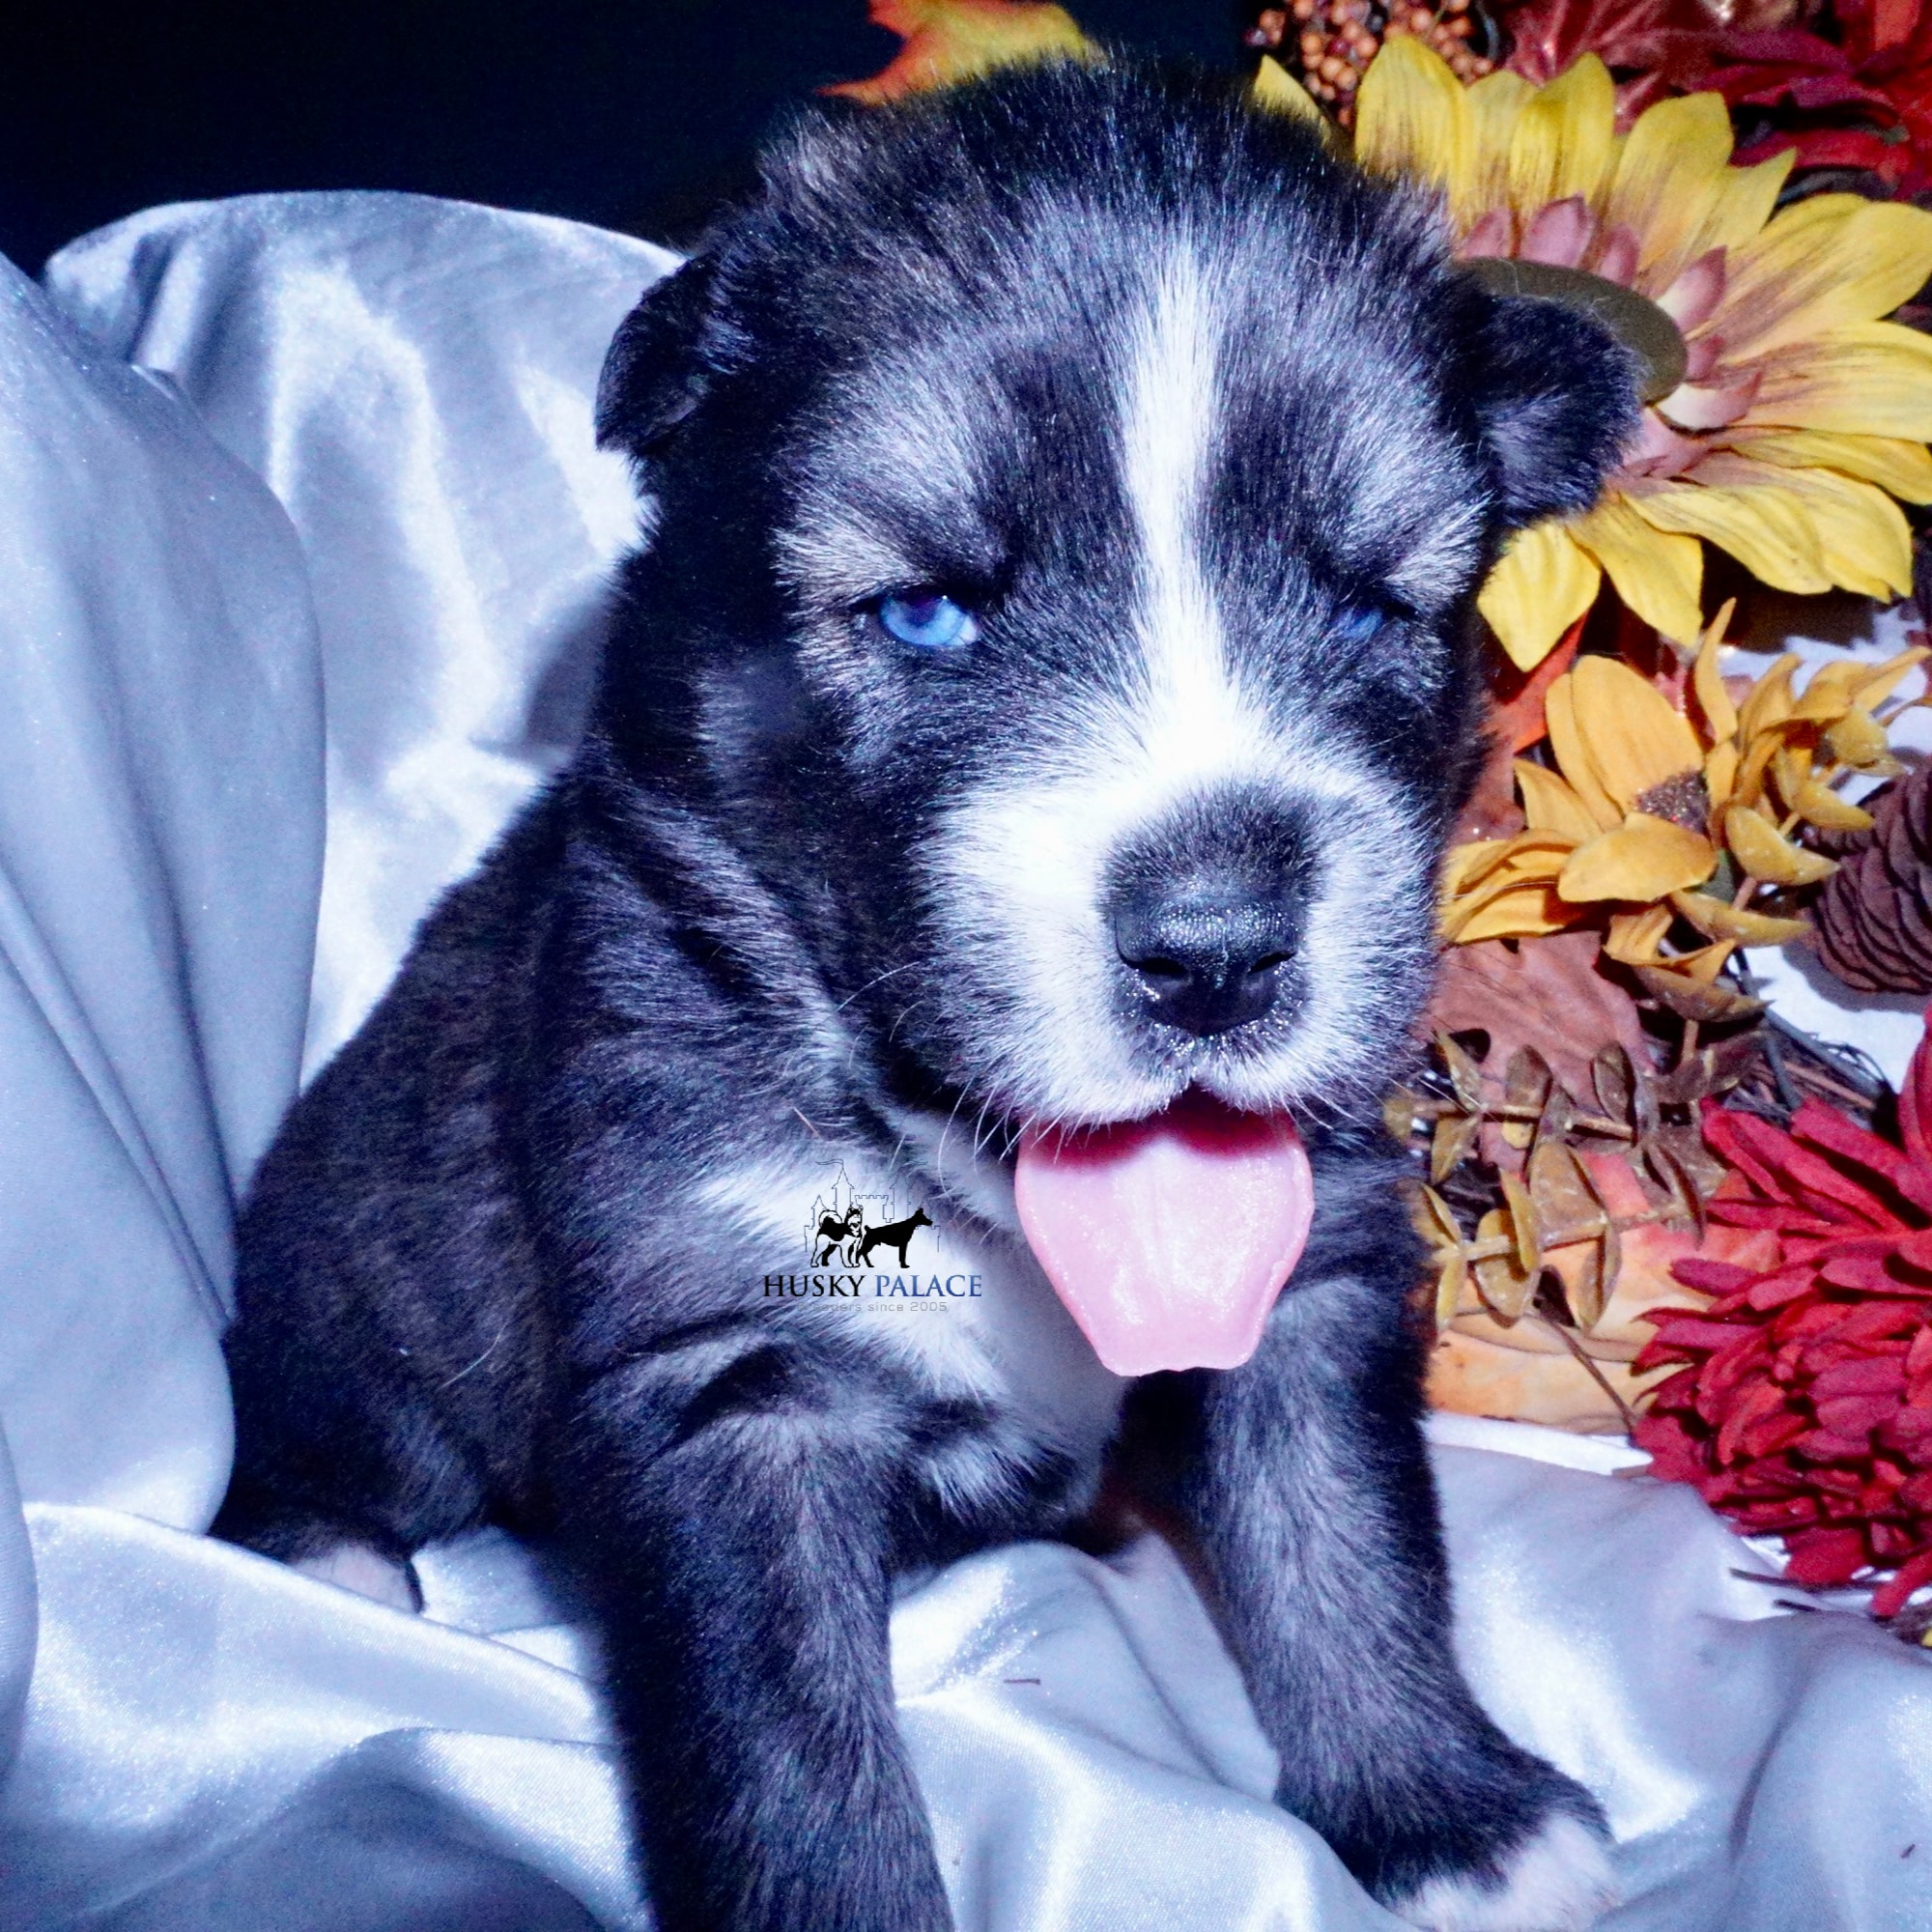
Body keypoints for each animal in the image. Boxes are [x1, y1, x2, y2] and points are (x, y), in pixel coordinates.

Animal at [219, 56, 1638, 1932]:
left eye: (1362, 603)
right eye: (929, 613)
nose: (1219, 949)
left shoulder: (1312, 1274)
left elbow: (1342, 1543)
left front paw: (1444, 1809)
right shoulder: (730, 1386)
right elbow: (790, 1757)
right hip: (360, 1274)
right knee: (325, 1421)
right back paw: (321, 1559)